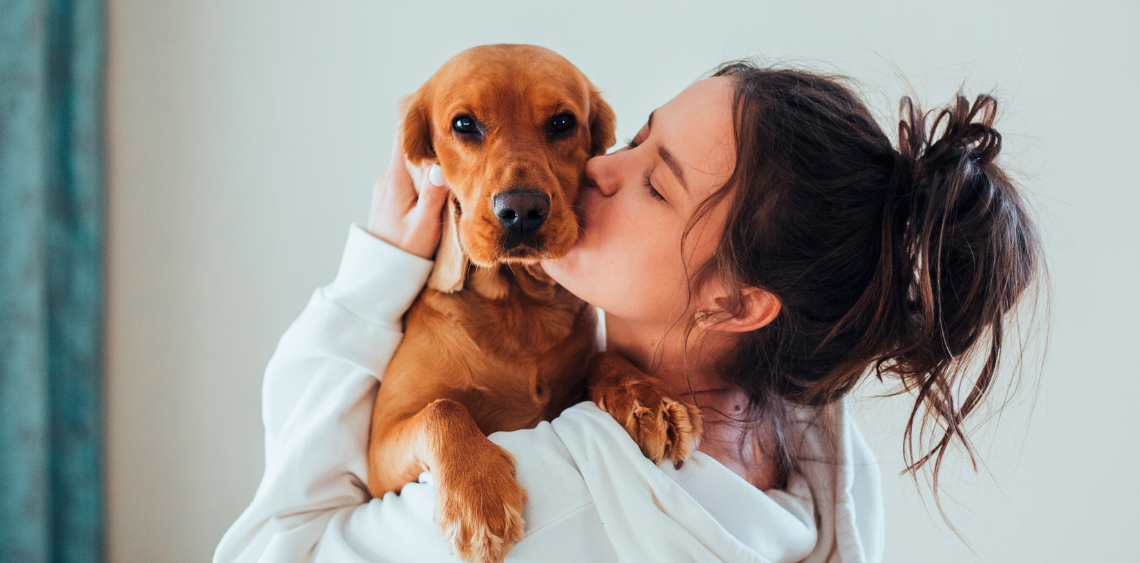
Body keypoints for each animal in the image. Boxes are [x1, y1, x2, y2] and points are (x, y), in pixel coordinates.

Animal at [369, 45, 697, 563]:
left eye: (563, 122)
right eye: (464, 124)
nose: (522, 210)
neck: (517, 307)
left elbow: (603, 356)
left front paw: (646, 394)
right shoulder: (378, 461)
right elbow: (442, 408)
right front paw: (477, 494)